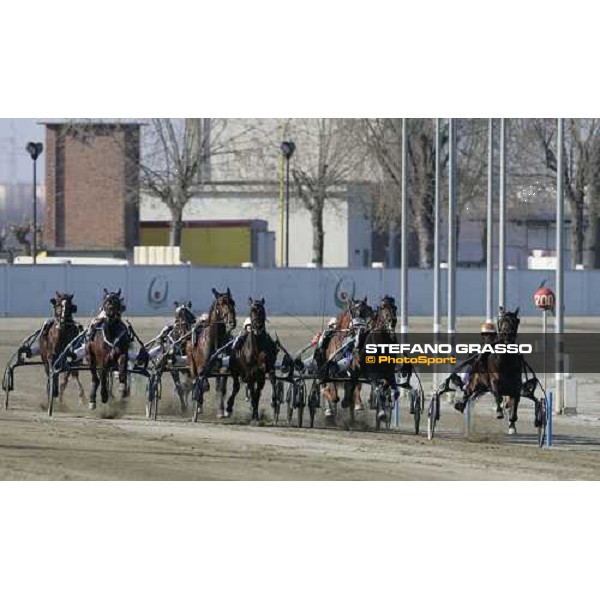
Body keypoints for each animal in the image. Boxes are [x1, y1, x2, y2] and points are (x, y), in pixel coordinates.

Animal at [188, 286, 237, 418]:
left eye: (233, 302)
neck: (215, 340)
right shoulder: (202, 368)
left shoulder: (223, 368)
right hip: (191, 364)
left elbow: (221, 388)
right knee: (195, 380)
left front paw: (221, 411)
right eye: (220, 303)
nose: (232, 321)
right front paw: (198, 402)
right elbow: (204, 385)